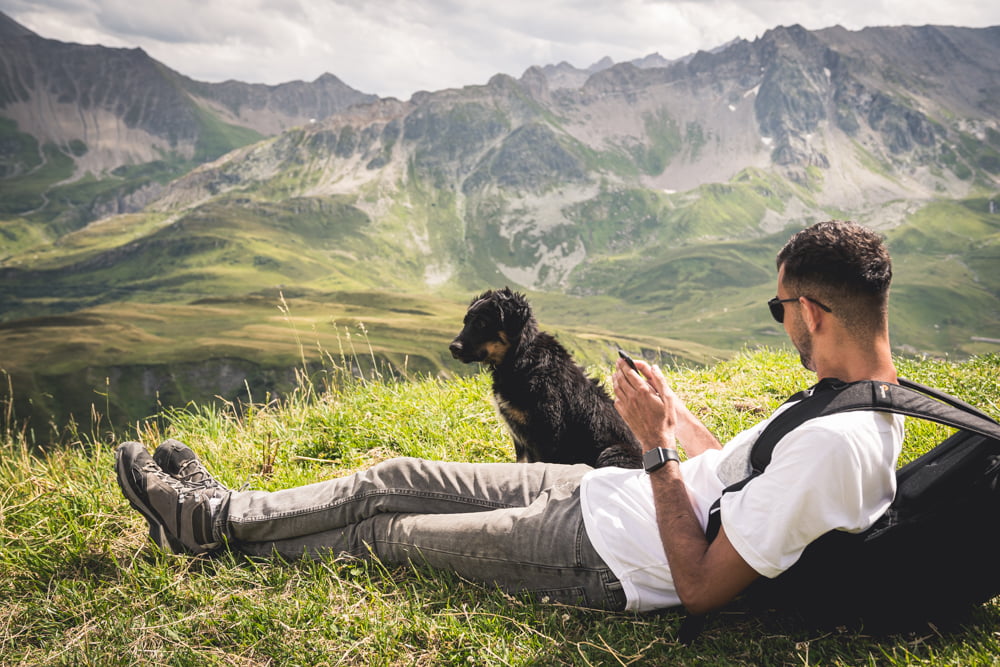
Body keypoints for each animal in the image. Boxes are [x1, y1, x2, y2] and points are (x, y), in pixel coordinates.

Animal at [450, 288, 644, 470]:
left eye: (481, 323)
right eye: (465, 322)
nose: (453, 348)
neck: (520, 357)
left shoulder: (548, 434)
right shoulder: (520, 438)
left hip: (613, 452)